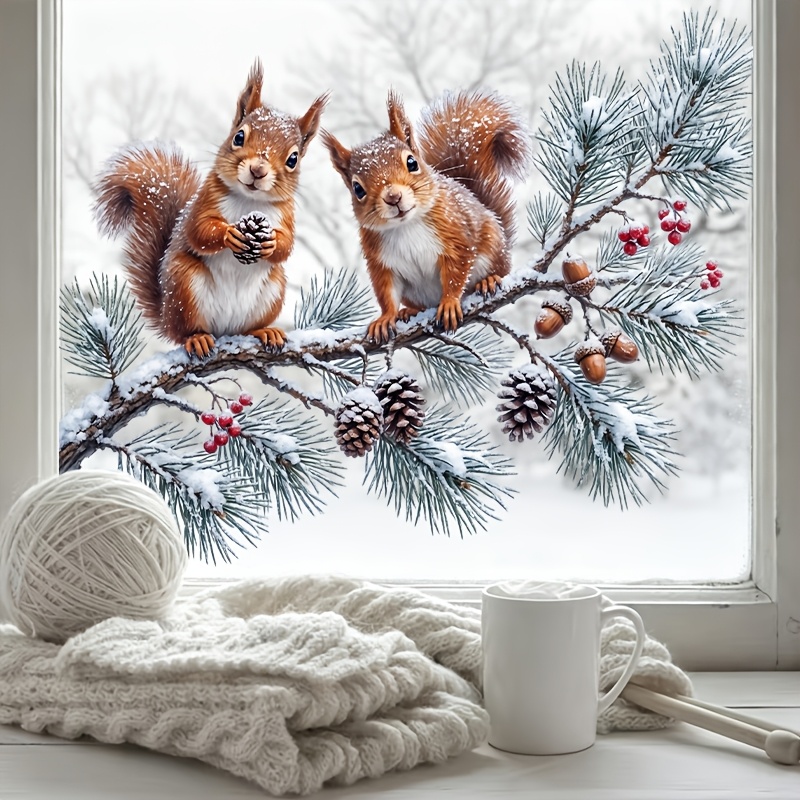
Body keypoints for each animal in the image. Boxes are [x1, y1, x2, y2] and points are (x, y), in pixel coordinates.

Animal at [94, 59, 328, 357]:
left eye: (293, 159)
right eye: (238, 137)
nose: (258, 170)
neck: (249, 202)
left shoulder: (286, 215)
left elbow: (287, 246)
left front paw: (272, 242)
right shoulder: (205, 201)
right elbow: (198, 231)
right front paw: (230, 234)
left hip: (273, 289)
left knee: (248, 327)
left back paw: (265, 331)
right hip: (185, 285)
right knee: (182, 332)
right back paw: (197, 338)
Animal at [321, 89, 532, 342]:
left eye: (412, 162)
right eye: (357, 189)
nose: (393, 197)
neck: (406, 225)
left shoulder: (456, 237)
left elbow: (455, 273)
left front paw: (450, 303)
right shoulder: (381, 262)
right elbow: (386, 292)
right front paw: (385, 318)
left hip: (493, 248)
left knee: (499, 270)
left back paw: (488, 281)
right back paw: (409, 311)